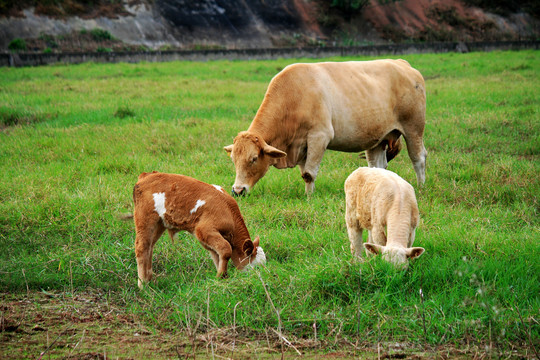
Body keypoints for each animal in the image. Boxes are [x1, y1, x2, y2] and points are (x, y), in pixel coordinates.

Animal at [131, 172, 266, 290]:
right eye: (256, 267)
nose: (259, 278)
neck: (229, 210)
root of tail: (146, 176)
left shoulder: (206, 237)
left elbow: (216, 254)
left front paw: (221, 276)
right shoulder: (204, 229)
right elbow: (226, 249)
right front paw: (221, 276)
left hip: (160, 223)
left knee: (150, 246)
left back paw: (149, 279)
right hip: (145, 217)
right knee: (141, 247)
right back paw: (142, 285)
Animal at [224, 59, 426, 195]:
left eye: (254, 159)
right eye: (233, 160)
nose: (237, 190)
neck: (294, 95)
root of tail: (402, 63)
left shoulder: (319, 137)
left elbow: (308, 174)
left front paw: (309, 197)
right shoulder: (302, 145)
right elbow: (304, 172)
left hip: (413, 129)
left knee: (418, 158)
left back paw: (421, 186)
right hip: (377, 139)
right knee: (378, 166)